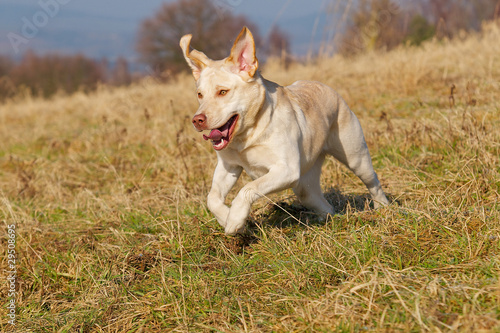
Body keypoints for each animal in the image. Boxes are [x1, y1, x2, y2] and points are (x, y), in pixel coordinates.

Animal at [178, 26, 388, 233]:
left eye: (223, 92)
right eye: (199, 94)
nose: (197, 120)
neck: (248, 134)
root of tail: (327, 88)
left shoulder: (286, 170)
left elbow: (248, 188)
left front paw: (235, 220)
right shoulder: (228, 167)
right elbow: (212, 198)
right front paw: (226, 219)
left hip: (356, 157)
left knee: (373, 181)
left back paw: (382, 208)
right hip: (304, 187)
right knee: (324, 205)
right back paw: (323, 220)